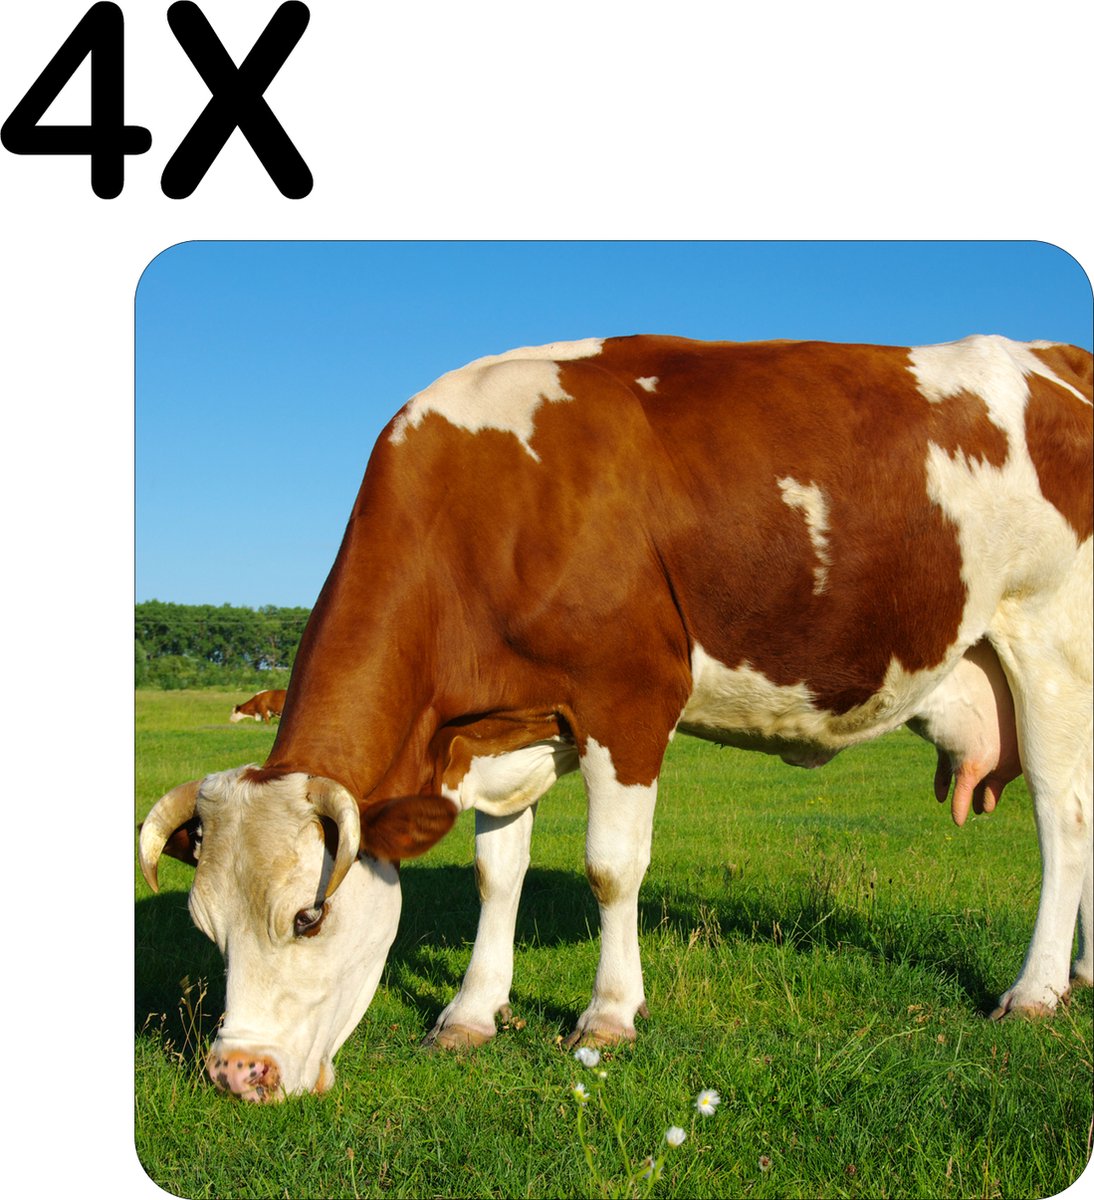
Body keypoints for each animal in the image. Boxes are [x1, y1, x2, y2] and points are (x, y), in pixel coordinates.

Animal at [139, 334, 1093, 1103]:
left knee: (1063, 817)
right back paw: (1083, 974)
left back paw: (1037, 991)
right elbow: (497, 873)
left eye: (308, 917)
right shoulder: (502, 731)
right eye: (204, 927)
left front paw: (607, 1015)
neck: (493, 505)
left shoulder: (628, 698)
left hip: (1050, 641)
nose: (236, 1074)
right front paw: (471, 1012)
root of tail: (1056, 355)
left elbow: (610, 869)